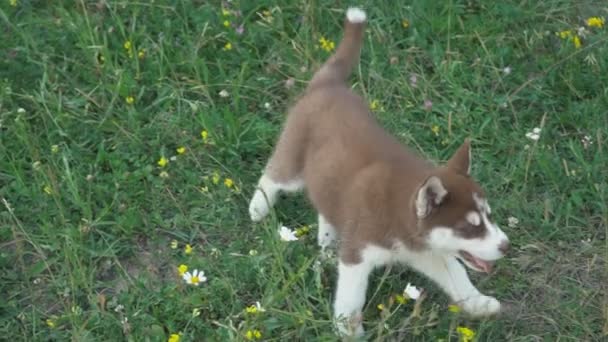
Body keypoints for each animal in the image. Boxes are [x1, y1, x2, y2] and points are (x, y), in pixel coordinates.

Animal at [247, 7, 508, 336]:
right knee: (272, 175)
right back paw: (258, 207)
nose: (505, 246)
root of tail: (329, 84)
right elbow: (351, 298)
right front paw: (349, 332)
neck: (401, 213)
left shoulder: (426, 251)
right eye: (469, 227)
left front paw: (478, 303)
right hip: (293, 161)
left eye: (489, 217)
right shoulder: (358, 254)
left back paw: (328, 242)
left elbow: (457, 272)